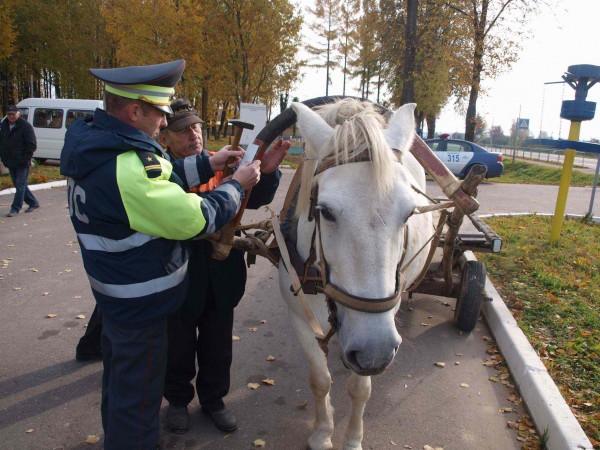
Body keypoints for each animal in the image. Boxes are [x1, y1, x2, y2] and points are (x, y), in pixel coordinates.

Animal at [278, 100, 434, 450]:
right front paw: (322, 433)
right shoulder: (298, 316)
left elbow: (359, 388)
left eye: (409, 213)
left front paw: (351, 439)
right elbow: (319, 380)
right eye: (324, 211)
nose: (374, 351)